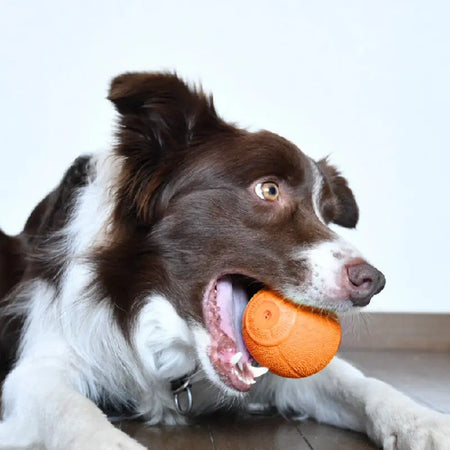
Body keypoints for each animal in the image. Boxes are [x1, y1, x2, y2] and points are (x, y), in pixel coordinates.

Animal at [0, 72, 450, 448]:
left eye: (325, 212)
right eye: (269, 190)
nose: (373, 281)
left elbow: (359, 383)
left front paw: (424, 423)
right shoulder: (39, 369)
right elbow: (77, 415)